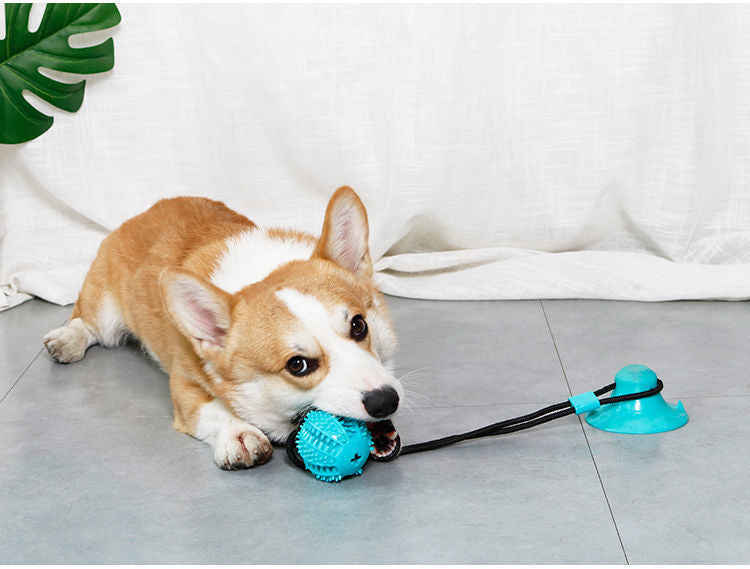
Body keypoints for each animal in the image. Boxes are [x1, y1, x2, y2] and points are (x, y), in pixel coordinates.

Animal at [43, 189, 402, 468]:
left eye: (359, 325)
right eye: (298, 365)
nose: (386, 401)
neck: (262, 273)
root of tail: (145, 211)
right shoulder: (183, 384)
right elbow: (211, 409)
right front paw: (238, 434)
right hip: (105, 312)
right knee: (86, 320)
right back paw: (66, 339)